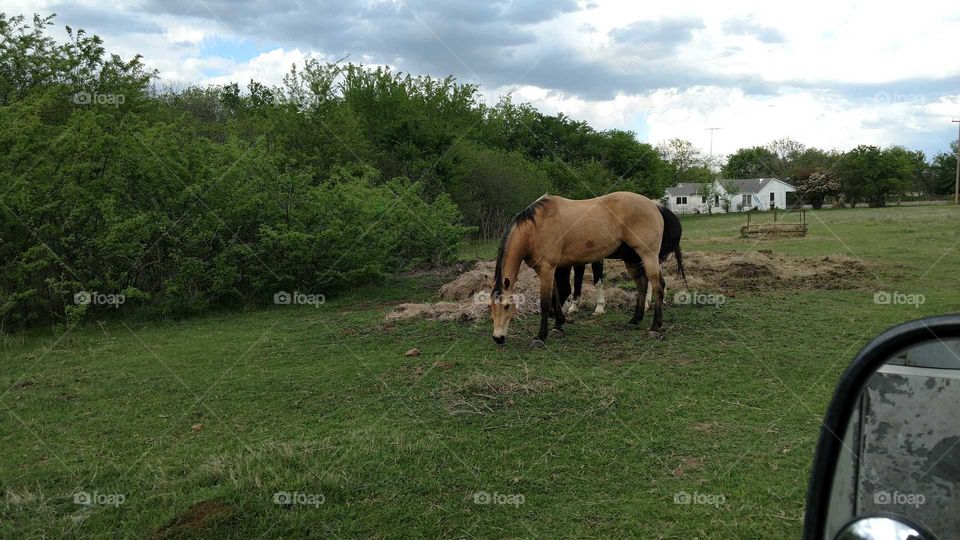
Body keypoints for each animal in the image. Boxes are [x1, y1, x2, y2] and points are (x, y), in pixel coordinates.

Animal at [492, 193, 688, 346]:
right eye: (491, 307)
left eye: (507, 306)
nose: (498, 338)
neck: (535, 228)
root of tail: (655, 205)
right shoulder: (551, 270)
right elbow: (556, 295)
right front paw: (559, 325)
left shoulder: (547, 269)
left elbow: (546, 302)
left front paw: (541, 336)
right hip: (632, 259)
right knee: (641, 284)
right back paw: (634, 320)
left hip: (649, 256)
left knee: (658, 286)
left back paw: (655, 326)